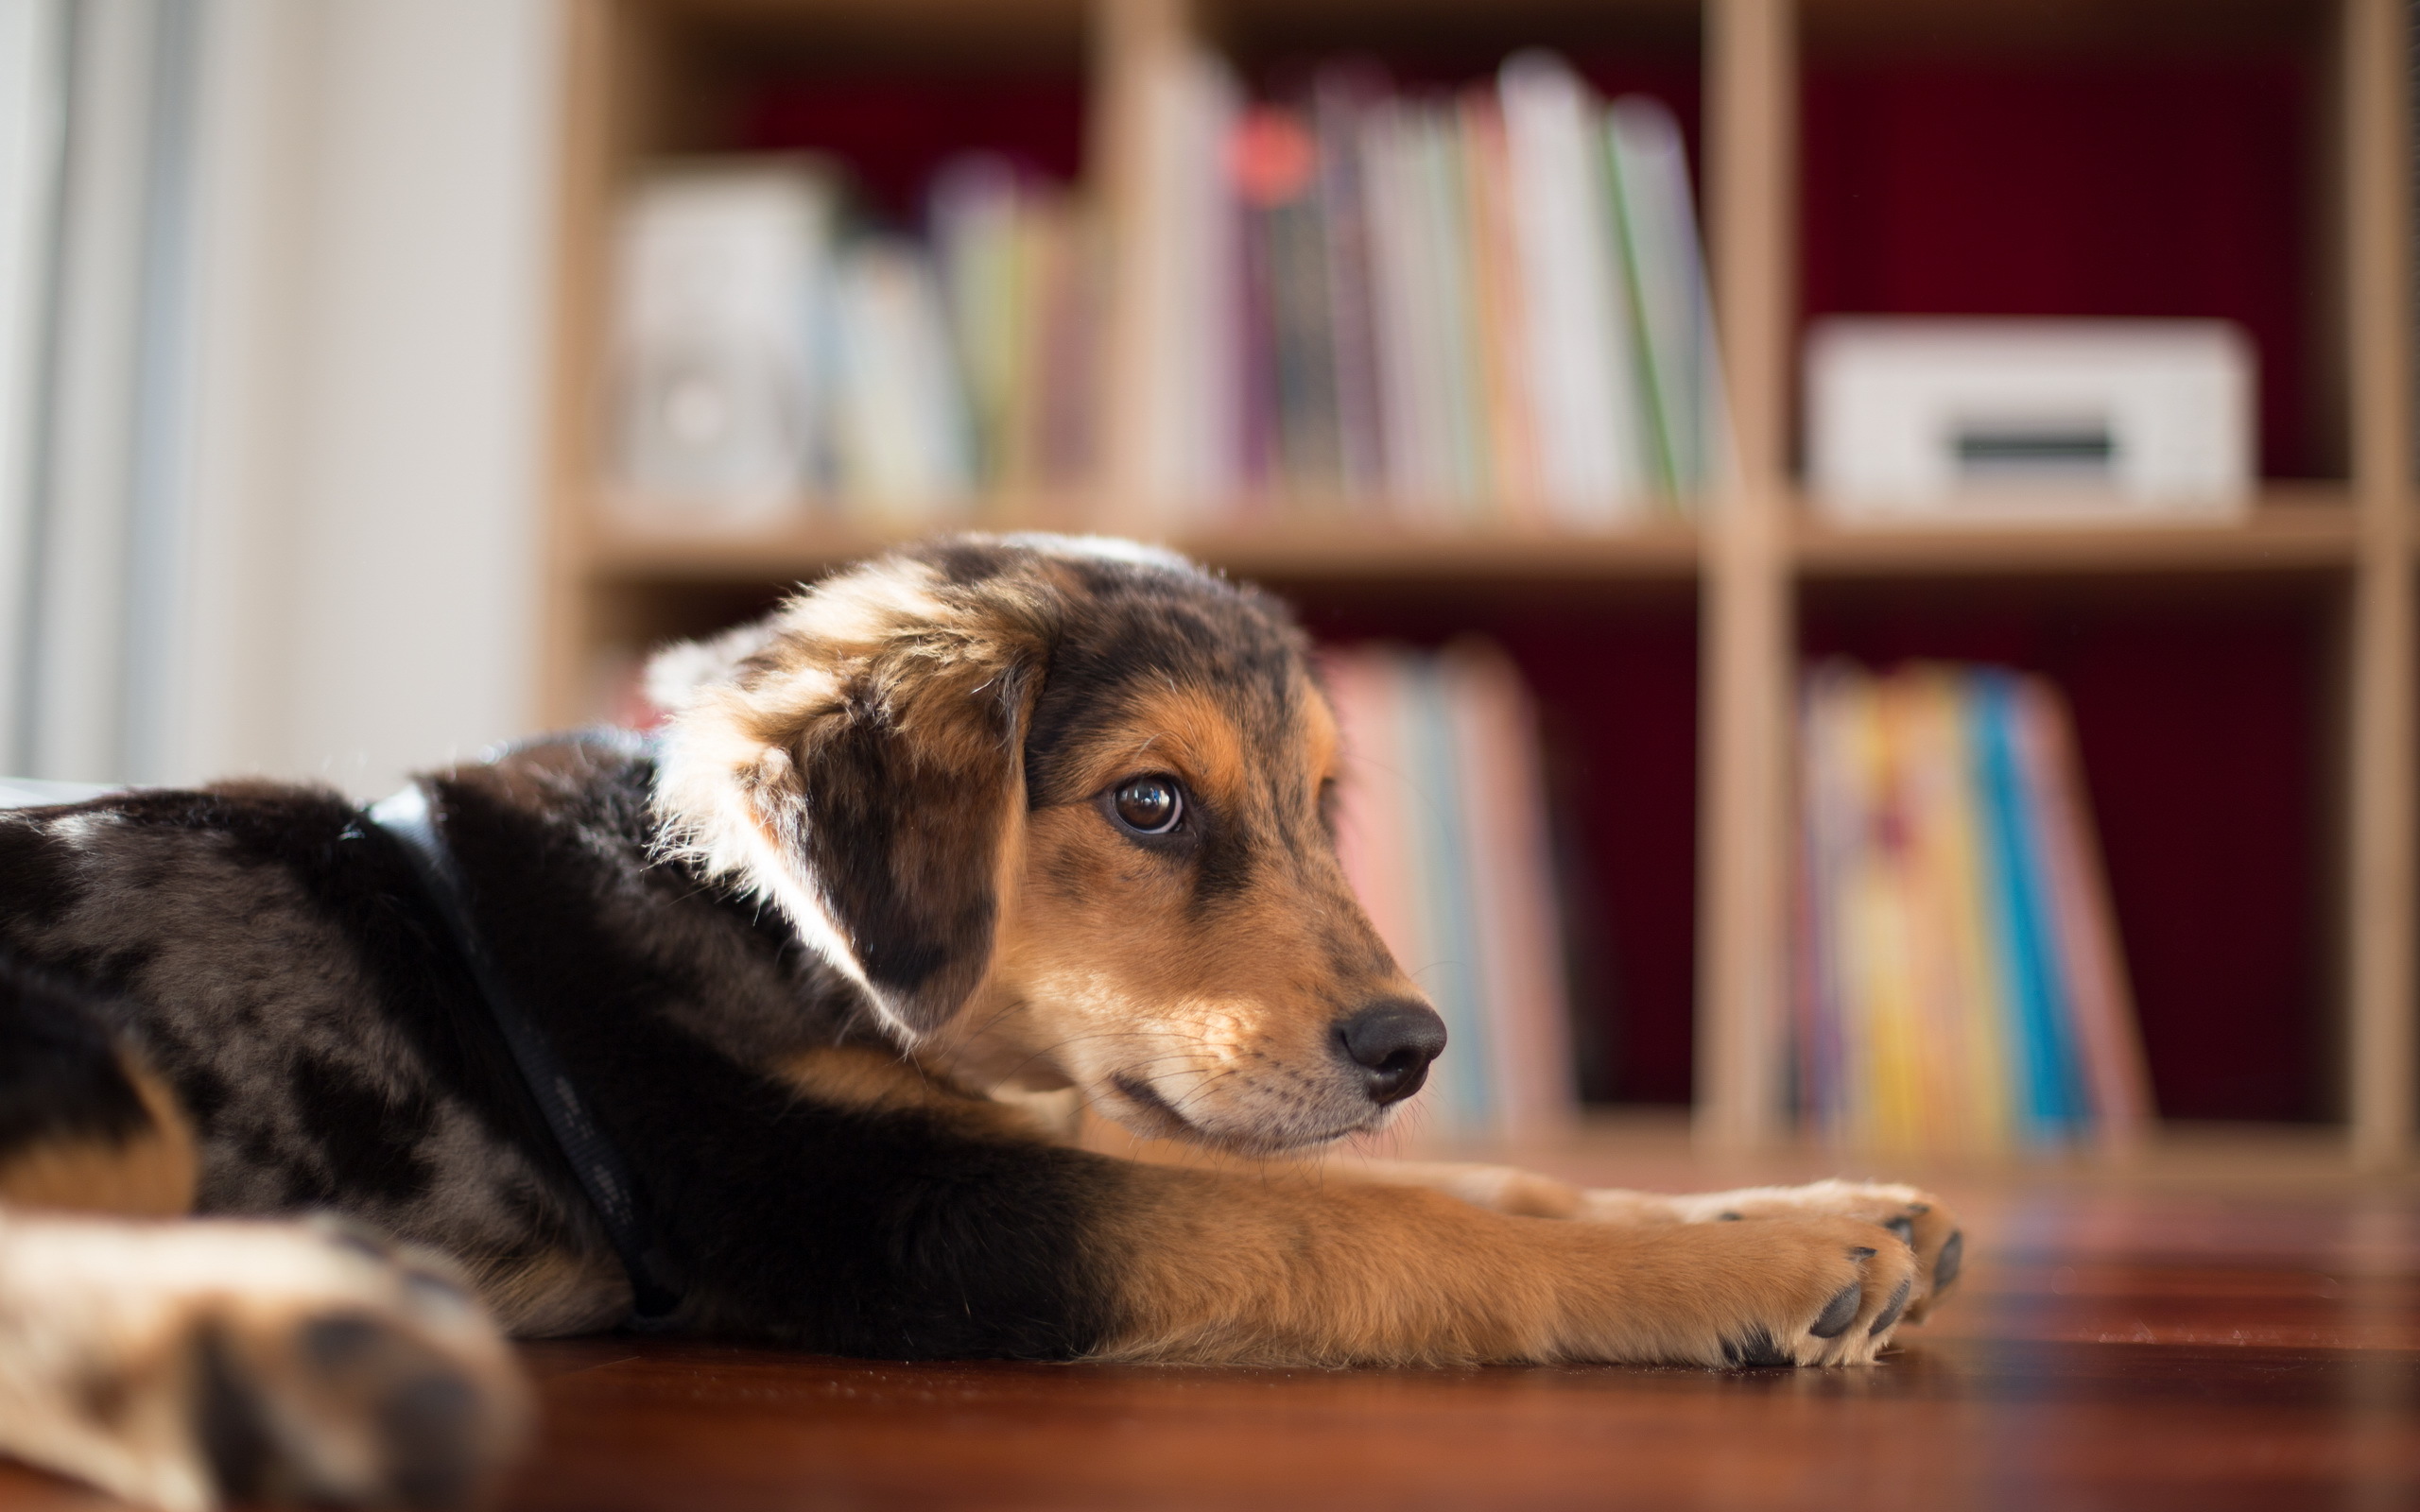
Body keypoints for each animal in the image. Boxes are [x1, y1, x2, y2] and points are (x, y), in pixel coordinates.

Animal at [0, 534, 1955, 1509]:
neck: (759, 923)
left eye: (1322, 805)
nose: (1415, 1050)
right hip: (93, 1064)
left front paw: (1812, 1214)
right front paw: (1764, 1259)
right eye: (1151, 804)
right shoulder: (883, 1203)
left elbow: (1450, 1187)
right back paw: (300, 1352)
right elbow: (1363, 1223)